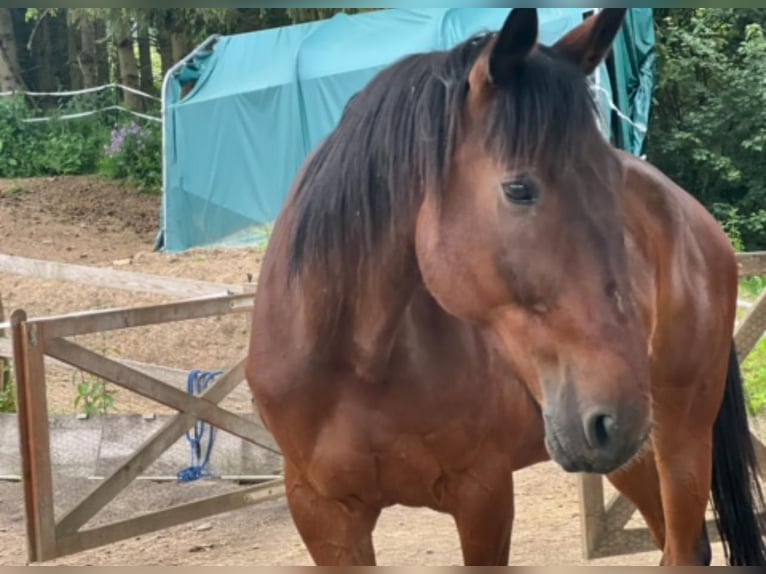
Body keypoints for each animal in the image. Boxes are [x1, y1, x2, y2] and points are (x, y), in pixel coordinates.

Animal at [248, 7, 766, 568]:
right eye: (519, 188)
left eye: (612, 180)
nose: (621, 412)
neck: (356, 361)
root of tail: (696, 219)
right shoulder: (323, 514)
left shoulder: (483, 494)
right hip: (627, 454)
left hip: (681, 437)